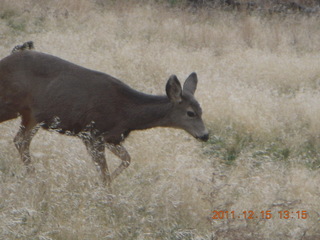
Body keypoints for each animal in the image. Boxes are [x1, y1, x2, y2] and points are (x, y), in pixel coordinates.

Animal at [0, 45, 209, 188]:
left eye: (202, 111)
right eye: (190, 113)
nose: (205, 135)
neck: (127, 113)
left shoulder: (112, 138)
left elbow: (127, 160)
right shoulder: (92, 134)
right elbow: (105, 173)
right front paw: (106, 196)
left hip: (33, 116)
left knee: (21, 140)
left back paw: (34, 178)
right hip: (11, 103)